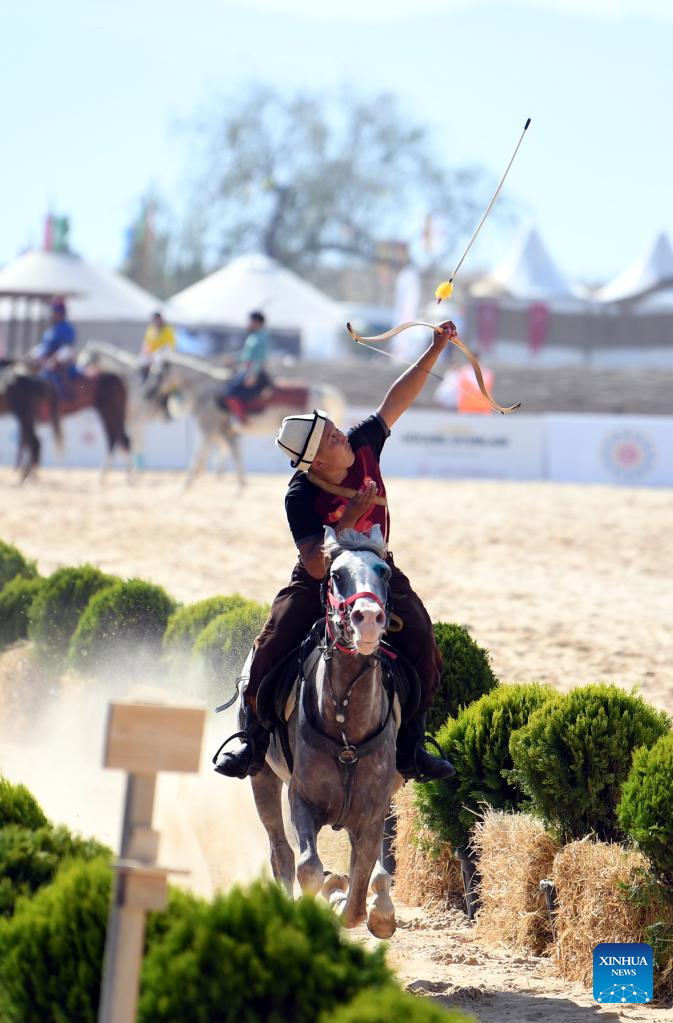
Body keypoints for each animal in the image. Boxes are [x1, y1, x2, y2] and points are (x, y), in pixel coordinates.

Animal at [143, 351, 346, 489]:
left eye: (156, 372)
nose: (148, 391)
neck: (206, 390)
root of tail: (319, 390)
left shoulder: (208, 427)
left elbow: (201, 453)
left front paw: (186, 484)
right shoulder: (223, 431)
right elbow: (231, 451)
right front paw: (240, 483)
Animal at [242, 524, 401, 938]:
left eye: (384, 572)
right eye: (336, 575)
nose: (367, 618)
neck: (348, 730)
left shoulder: (372, 811)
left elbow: (361, 887)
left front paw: (368, 909)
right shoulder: (303, 799)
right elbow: (309, 868)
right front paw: (322, 898)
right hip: (262, 777)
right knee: (281, 853)